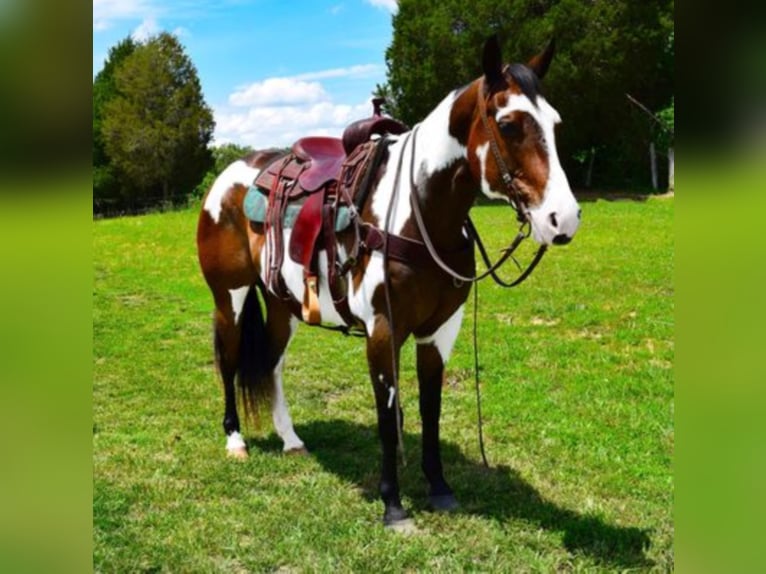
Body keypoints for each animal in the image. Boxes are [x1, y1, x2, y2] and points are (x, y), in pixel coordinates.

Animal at [196, 37, 584, 532]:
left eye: (555, 123)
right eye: (509, 124)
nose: (563, 219)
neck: (421, 212)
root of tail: (230, 176)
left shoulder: (440, 330)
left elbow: (430, 408)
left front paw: (439, 488)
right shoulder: (383, 330)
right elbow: (386, 413)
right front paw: (393, 504)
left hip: (282, 303)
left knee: (273, 362)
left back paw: (291, 439)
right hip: (230, 296)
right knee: (228, 360)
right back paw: (235, 439)